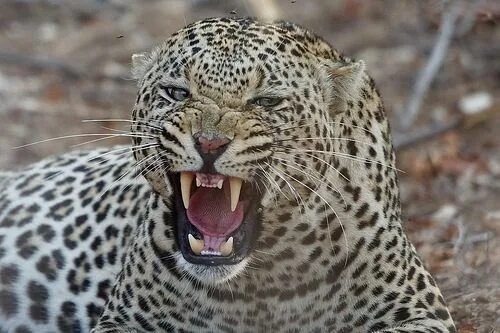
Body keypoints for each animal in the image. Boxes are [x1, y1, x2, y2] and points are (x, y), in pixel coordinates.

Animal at [0, 16, 456, 330]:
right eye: (176, 92)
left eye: (266, 101)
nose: (209, 143)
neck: (261, 279)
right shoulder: (125, 320)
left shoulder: (419, 312)